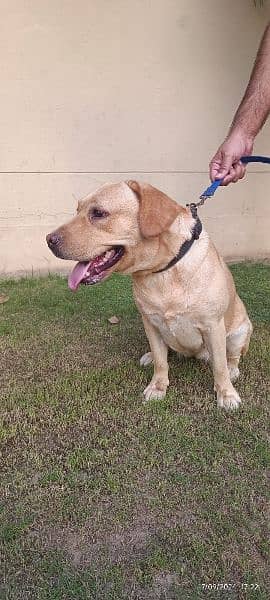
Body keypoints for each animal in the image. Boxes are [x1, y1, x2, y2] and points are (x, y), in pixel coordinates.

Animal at [46, 180, 251, 410]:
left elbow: (220, 367)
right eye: (77, 210)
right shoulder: (150, 323)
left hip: (240, 331)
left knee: (231, 356)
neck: (162, 271)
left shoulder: (213, 326)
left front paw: (226, 394)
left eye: (98, 213)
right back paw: (150, 356)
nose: (48, 239)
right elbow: (162, 362)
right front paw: (158, 386)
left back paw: (232, 369)